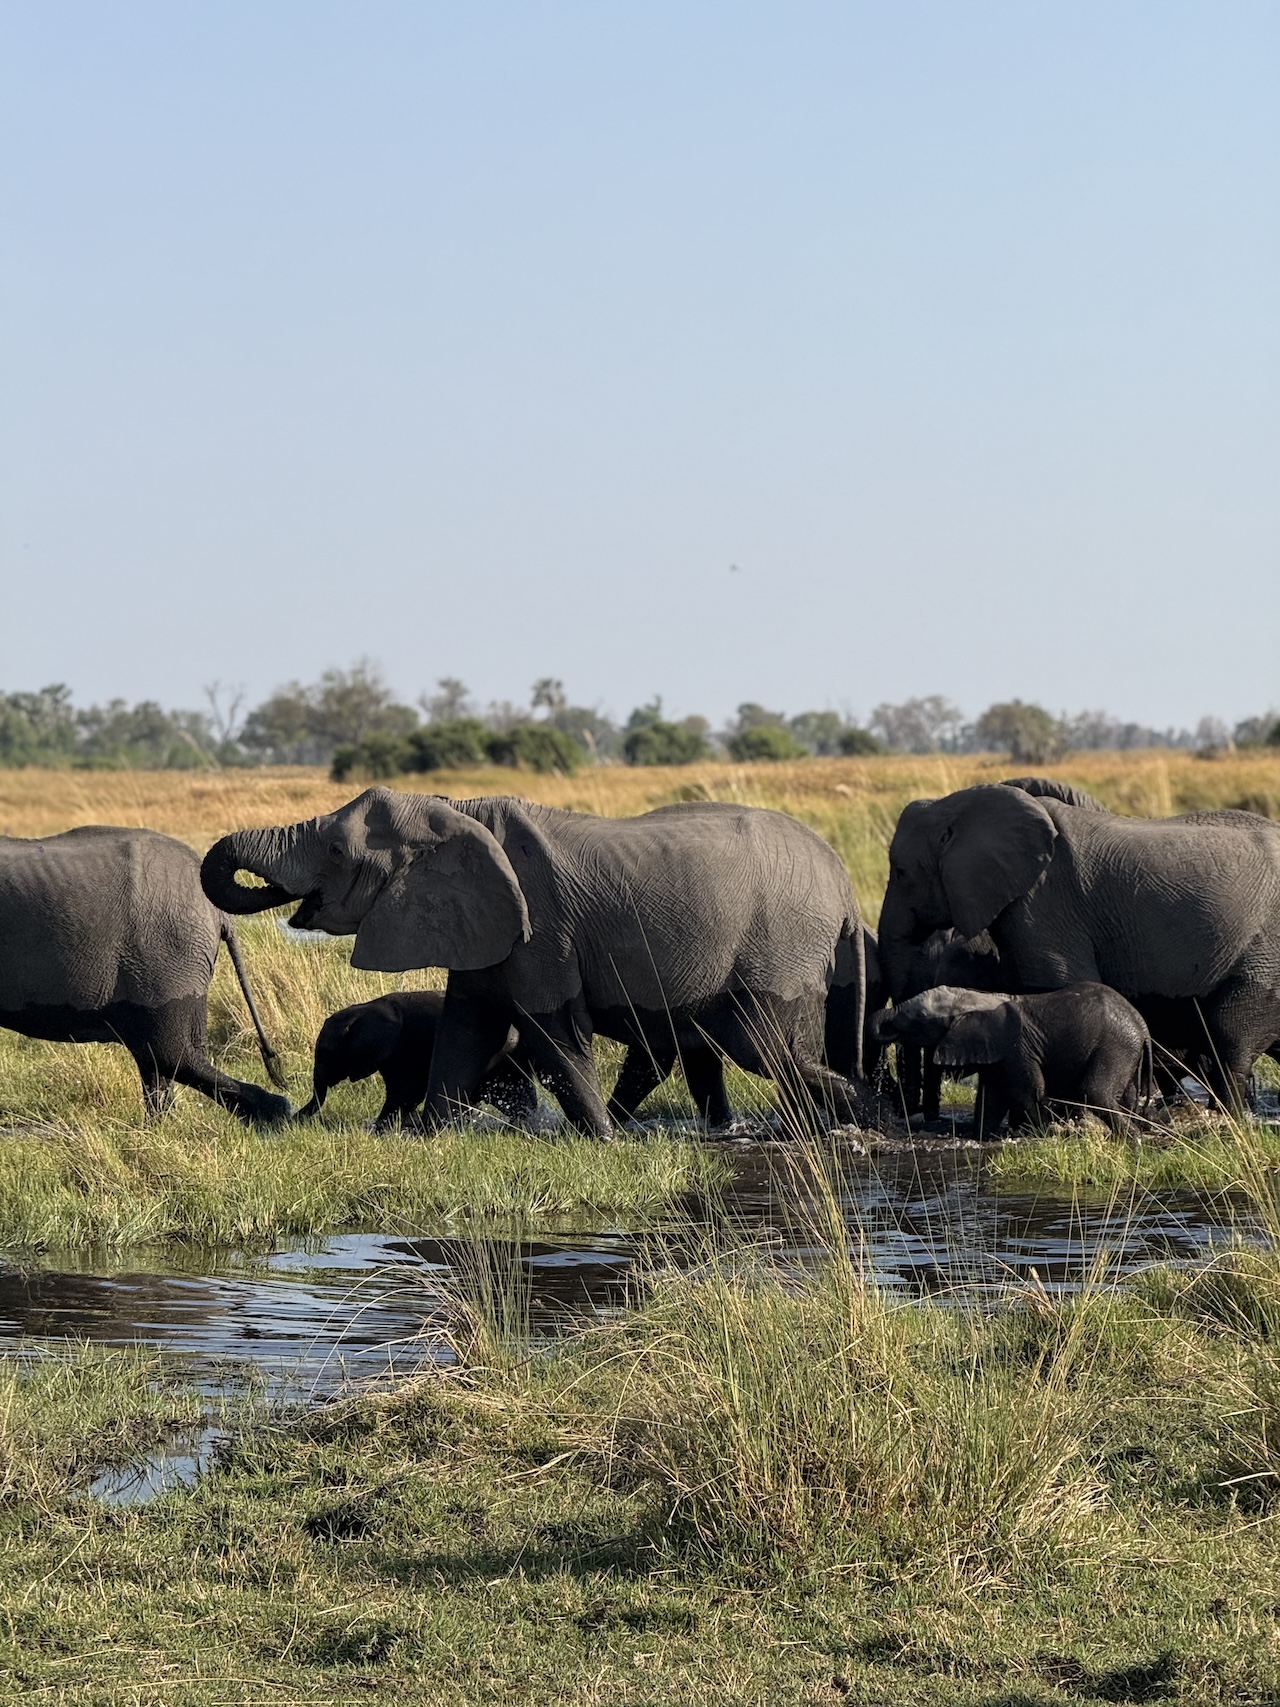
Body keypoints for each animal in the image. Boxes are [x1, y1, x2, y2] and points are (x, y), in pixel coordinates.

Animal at [297, 989, 538, 1128]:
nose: (293, 1119)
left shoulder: (403, 1046)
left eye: (325, 1053)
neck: (364, 1008)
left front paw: (380, 1129)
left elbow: (406, 1092)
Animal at [872, 983, 1153, 1135]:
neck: (973, 997)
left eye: (918, 1018)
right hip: (1125, 1049)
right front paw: (981, 1135)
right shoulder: (995, 1054)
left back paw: (1133, 1138)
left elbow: (1028, 1094)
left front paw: (1045, 1133)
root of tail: (1142, 1026)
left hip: (1114, 1043)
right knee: (1125, 1095)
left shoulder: (1017, 1049)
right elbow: (990, 1100)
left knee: (1093, 1091)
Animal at [878, 782, 1280, 1107]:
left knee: (1230, 1036)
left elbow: (1058, 985)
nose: (916, 1112)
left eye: (900, 872)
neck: (960, 803)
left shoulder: (1045, 901)